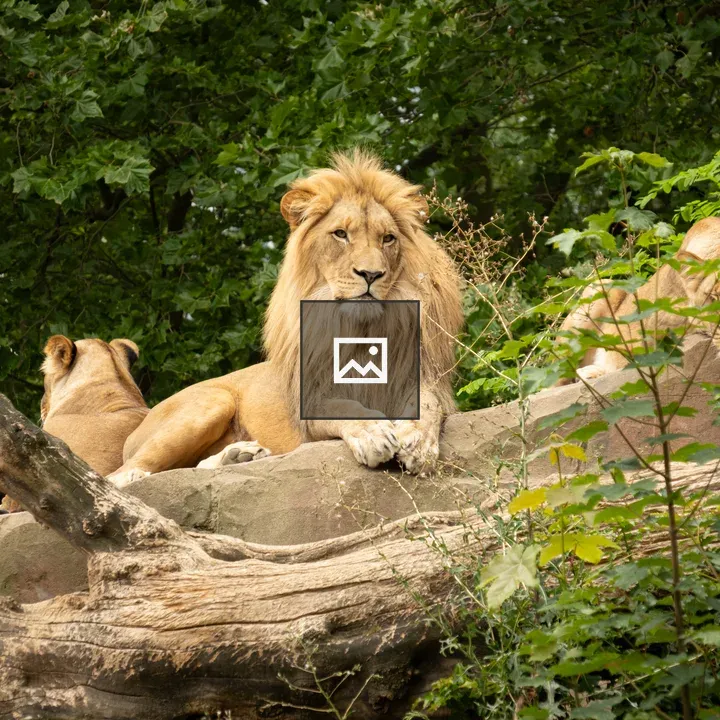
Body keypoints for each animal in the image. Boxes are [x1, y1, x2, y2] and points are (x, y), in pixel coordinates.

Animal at [109, 150, 463, 485]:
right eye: (340, 234)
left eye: (388, 238)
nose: (371, 274)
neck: (361, 330)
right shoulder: (311, 401)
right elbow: (341, 406)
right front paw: (373, 432)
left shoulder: (420, 378)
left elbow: (430, 406)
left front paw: (417, 441)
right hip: (211, 402)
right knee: (122, 474)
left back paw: (240, 455)